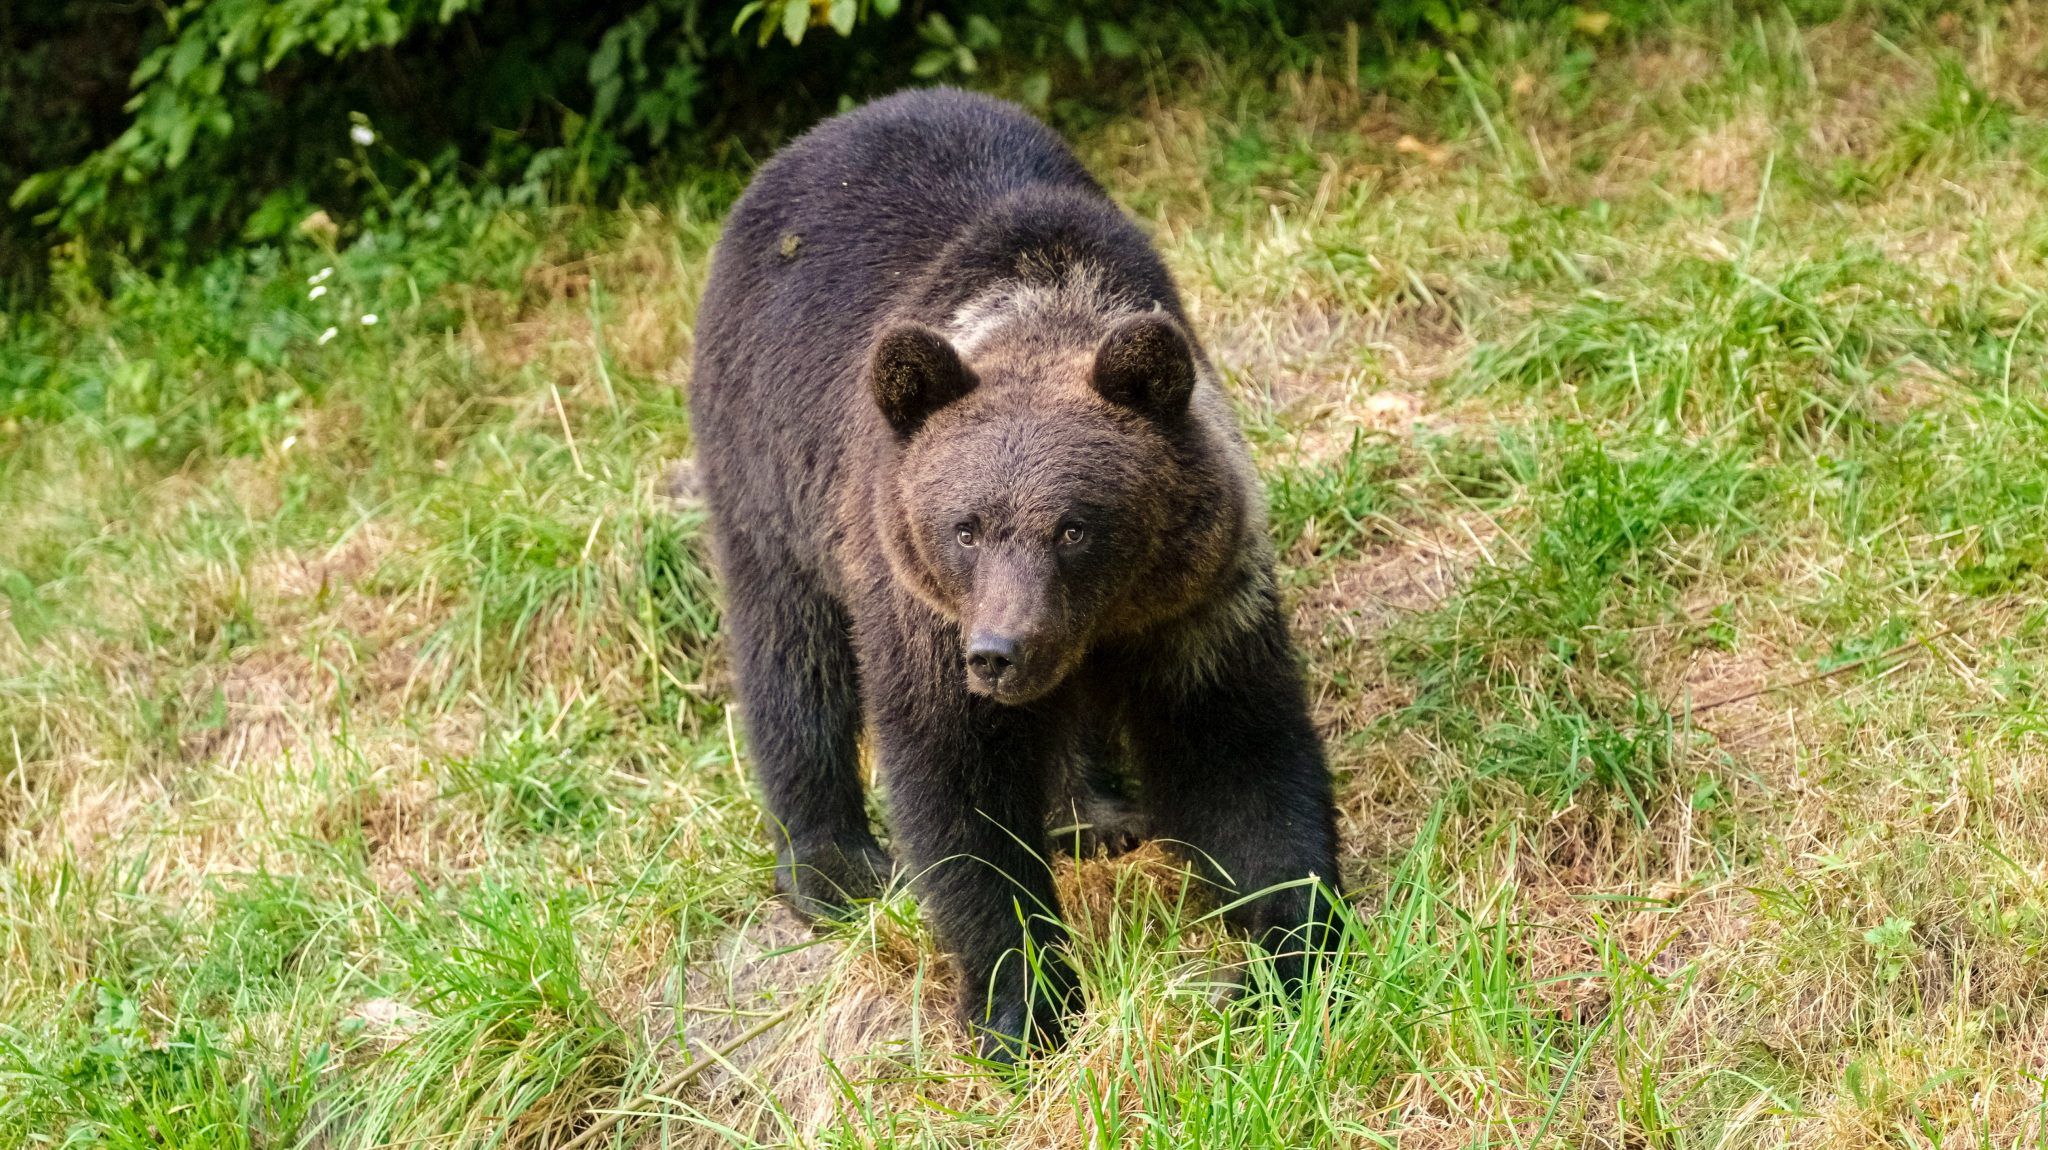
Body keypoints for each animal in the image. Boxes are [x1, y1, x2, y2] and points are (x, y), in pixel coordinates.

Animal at [688, 84, 1343, 1064]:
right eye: (965, 527)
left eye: (1075, 526)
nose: (1000, 651)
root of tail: (824, 130)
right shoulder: (920, 603)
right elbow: (959, 790)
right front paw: (1022, 1005)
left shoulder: (1195, 602)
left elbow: (1239, 757)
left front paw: (1284, 960)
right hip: (764, 468)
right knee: (791, 653)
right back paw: (833, 867)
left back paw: (1091, 815)